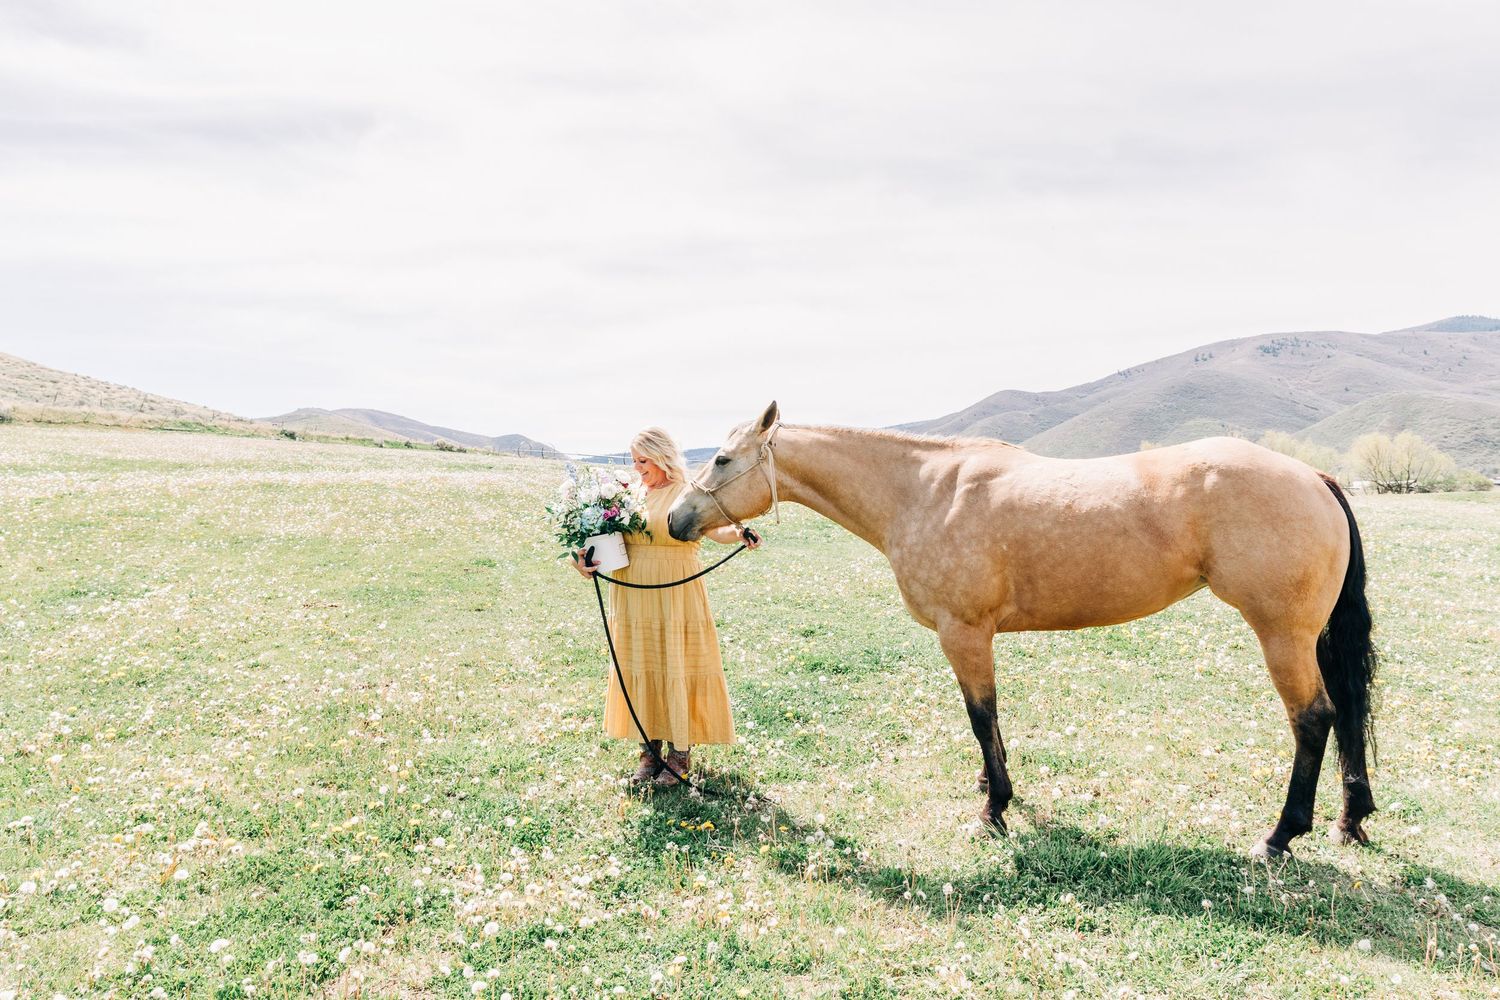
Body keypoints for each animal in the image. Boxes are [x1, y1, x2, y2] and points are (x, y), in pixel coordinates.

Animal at [667, 401, 1377, 859]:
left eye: (722, 459)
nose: (675, 518)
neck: (922, 490)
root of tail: (1315, 477)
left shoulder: (964, 633)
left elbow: (981, 716)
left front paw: (994, 810)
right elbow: (991, 723)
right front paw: (994, 788)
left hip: (1281, 635)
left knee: (1313, 718)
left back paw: (1280, 836)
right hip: (1308, 637)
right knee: (1345, 711)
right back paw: (1350, 820)